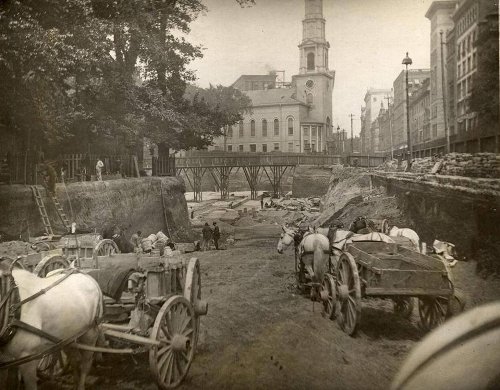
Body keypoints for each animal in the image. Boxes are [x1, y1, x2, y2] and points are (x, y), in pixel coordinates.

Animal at [0, 258, 103, 390]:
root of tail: (84, 274)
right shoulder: (5, 360)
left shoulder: (28, 357)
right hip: (67, 337)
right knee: (74, 359)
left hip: (90, 333)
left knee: (85, 363)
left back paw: (81, 384)